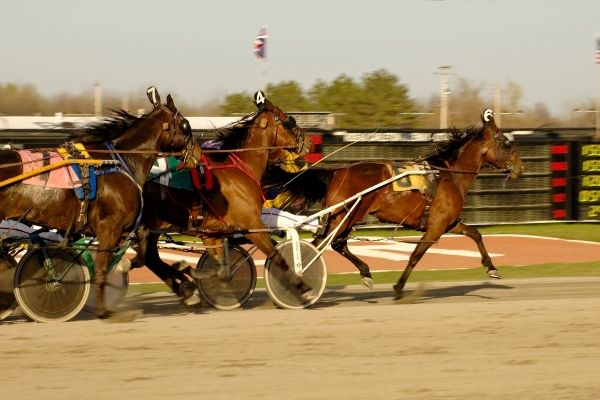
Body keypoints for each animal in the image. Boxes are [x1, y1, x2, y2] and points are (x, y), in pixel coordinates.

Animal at [0, 87, 191, 318]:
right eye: (185, 124)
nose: (196, 150)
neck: (118, 161)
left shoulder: (126, 224)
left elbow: (144, 245)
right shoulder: (109, 226)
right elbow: (102, 268)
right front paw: (103, 309)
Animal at [132, 90, 310, 304]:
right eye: (289, 120)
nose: (306, 141)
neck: (240, 170)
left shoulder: (211, 233)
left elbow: (220, 267)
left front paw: (189, 270)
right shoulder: (253, 228)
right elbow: (276, 256)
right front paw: (302, 286)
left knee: (150, 258)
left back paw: (184, 287)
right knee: (147, 257)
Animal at [270, 108, 524, 296]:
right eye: (507, 144)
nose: (521, 167)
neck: (448, 175)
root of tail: (337, 172)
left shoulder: (448, 223)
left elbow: (475, 234)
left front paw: (492, 268)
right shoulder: (435, 228)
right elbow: (415, 255)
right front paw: (399, 286)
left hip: (346, 217)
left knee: (334, 244)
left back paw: (364, 273)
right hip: (346, 215)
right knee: (325, 244)